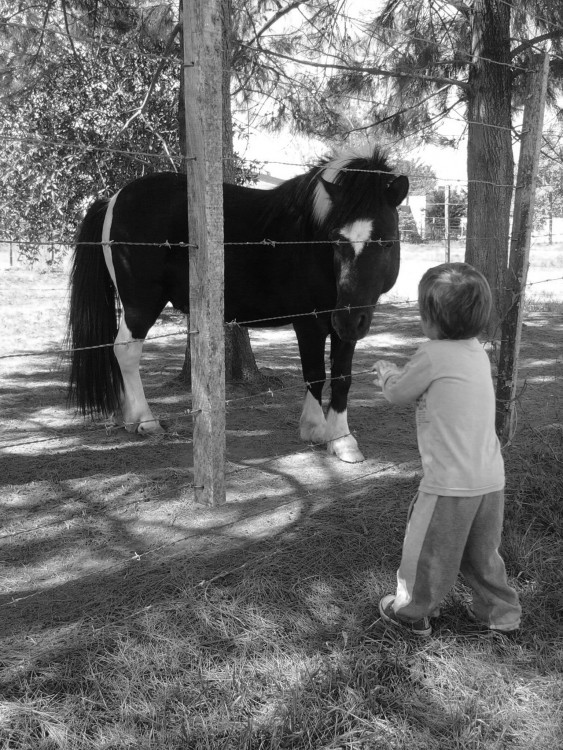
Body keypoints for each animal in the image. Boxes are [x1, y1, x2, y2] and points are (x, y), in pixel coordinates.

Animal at [67, 145, 410, 464]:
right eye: (337, 239)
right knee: (126, 351)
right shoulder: (309, 322)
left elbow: (342, 377)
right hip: (141, 302)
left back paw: (131, 419)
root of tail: (113, 199)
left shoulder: (345, 323)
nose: (349, 320)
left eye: (386, 240)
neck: (310, 238)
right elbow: (315, 373)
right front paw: (314, 429)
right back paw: (146, 421)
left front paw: (342, 441)